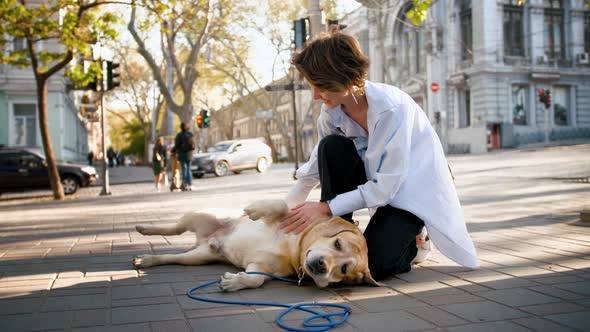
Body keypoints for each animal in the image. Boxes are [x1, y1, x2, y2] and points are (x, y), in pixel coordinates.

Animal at [132, 200, 382, 290]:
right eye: (337, 243)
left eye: (343, 269)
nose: (322, 265)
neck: (293, 251)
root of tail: (209, 238)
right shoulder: (288, 214)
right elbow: (282, 205)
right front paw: (256, 209)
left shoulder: (260, 267)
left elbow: (256, 279)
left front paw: (235, 282)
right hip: (201, 214)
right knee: (174, 228)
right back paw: (145, 228)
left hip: (197, 257)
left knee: (173, 257)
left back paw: (147, 259)